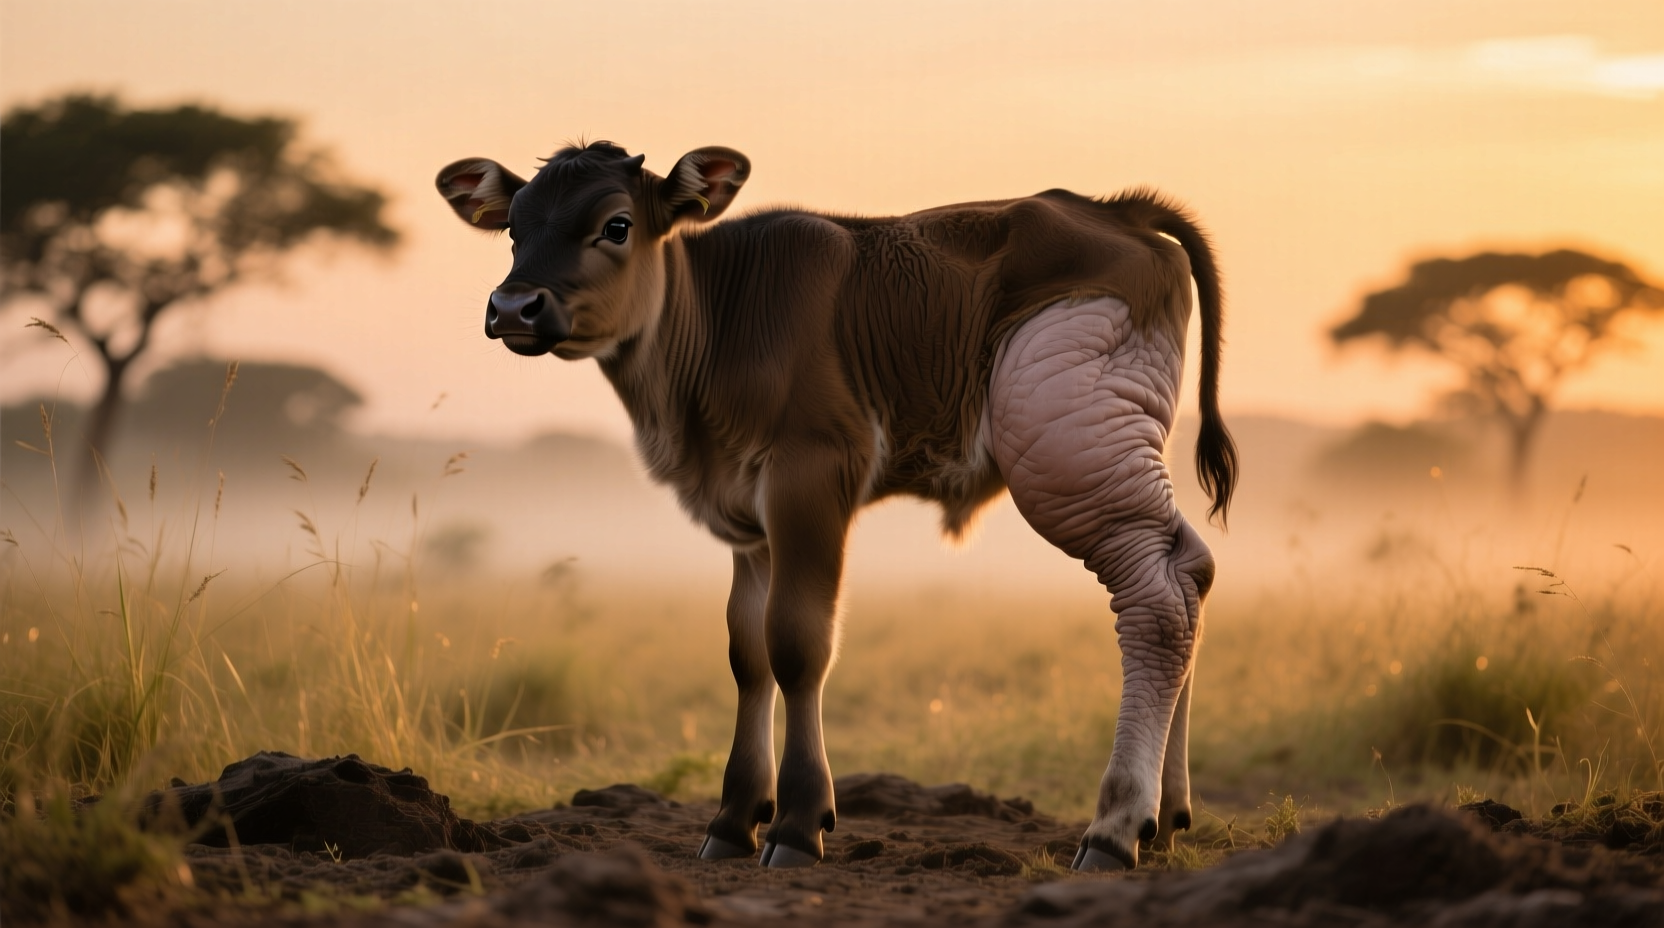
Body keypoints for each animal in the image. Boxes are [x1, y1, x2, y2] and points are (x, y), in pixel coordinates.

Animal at [435, 141, 1237, 872]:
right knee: (1190, 574)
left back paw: (1114, 827)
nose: (514, 305)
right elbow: (748, 654)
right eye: (513, 228)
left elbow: (797, 643)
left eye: (616, 225)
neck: (716, 328)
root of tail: (1107, 207)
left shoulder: (811, 477)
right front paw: (733, 820)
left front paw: (795, 823)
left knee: (1154, 600)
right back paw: (1165, 817)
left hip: (1070, 451)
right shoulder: (748, 520)